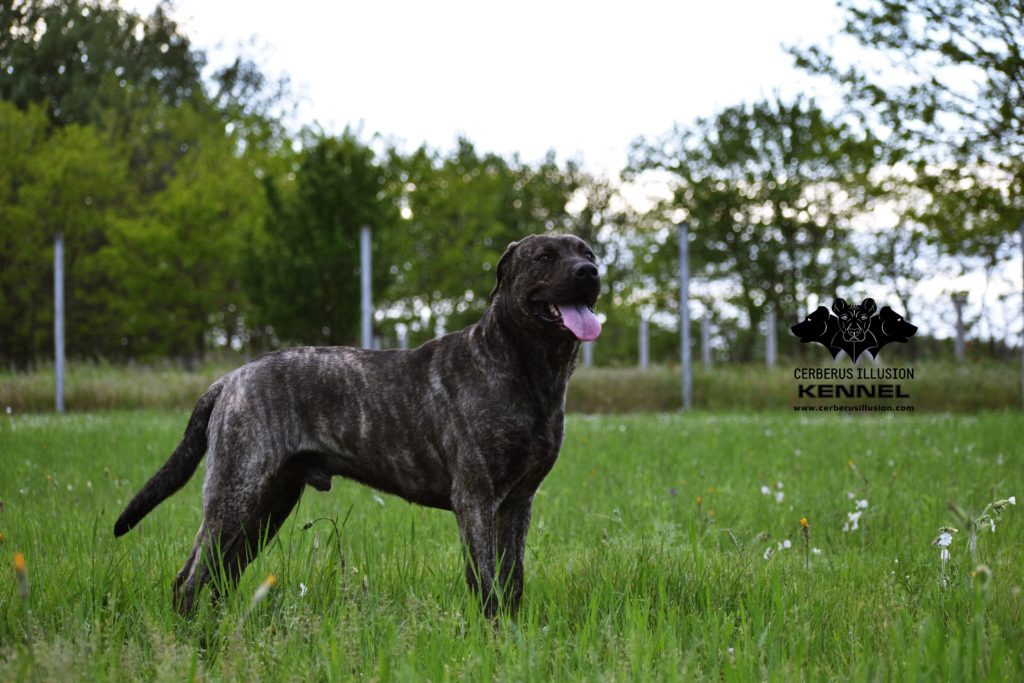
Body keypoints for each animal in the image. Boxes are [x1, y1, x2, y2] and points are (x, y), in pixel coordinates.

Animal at [116, 232, 602, 618]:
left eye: (587, 251)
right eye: (543, 256)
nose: (590, 271)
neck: (527, 370)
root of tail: (230, 378)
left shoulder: (517, 503)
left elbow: (512, 582)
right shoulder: (476, 500)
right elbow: (486, 585)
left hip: (267, 507)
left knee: (219, 577)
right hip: (234, 495)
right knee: (190, 578)